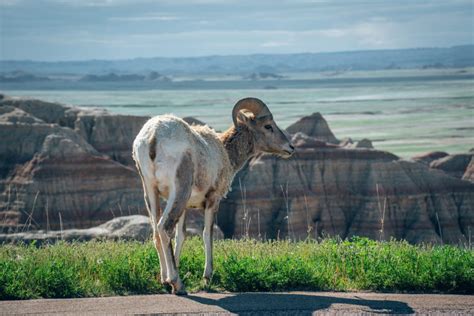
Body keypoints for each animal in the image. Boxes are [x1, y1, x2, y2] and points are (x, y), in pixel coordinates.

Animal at [131, 97, 294, 296]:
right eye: (268, 126)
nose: (290, 148)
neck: (226, 153)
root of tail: (153, 136)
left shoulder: (185, 207)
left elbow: (181, 236)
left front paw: (174, 274)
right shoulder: (212, 201)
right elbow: (207, 234)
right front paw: (207, 278)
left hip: (151, 192)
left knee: (157, 232)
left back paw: (165, 280)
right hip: (179, 191)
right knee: (164, 227)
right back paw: (178, 284)